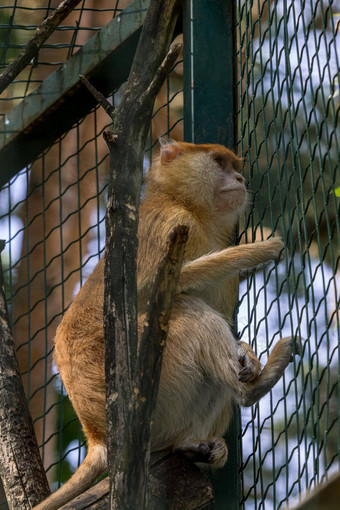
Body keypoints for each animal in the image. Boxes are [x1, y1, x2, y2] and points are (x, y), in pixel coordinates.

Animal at [34, 139, 298, 510]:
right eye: (219, 162)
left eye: (235, 166)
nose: (241, 179)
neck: (186, 203)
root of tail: (97, 435)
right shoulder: (169, 225)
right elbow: (149, 292)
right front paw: (262, 248)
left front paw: (247, 355)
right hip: (150, 393)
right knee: (185, 309)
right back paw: (254, 387)